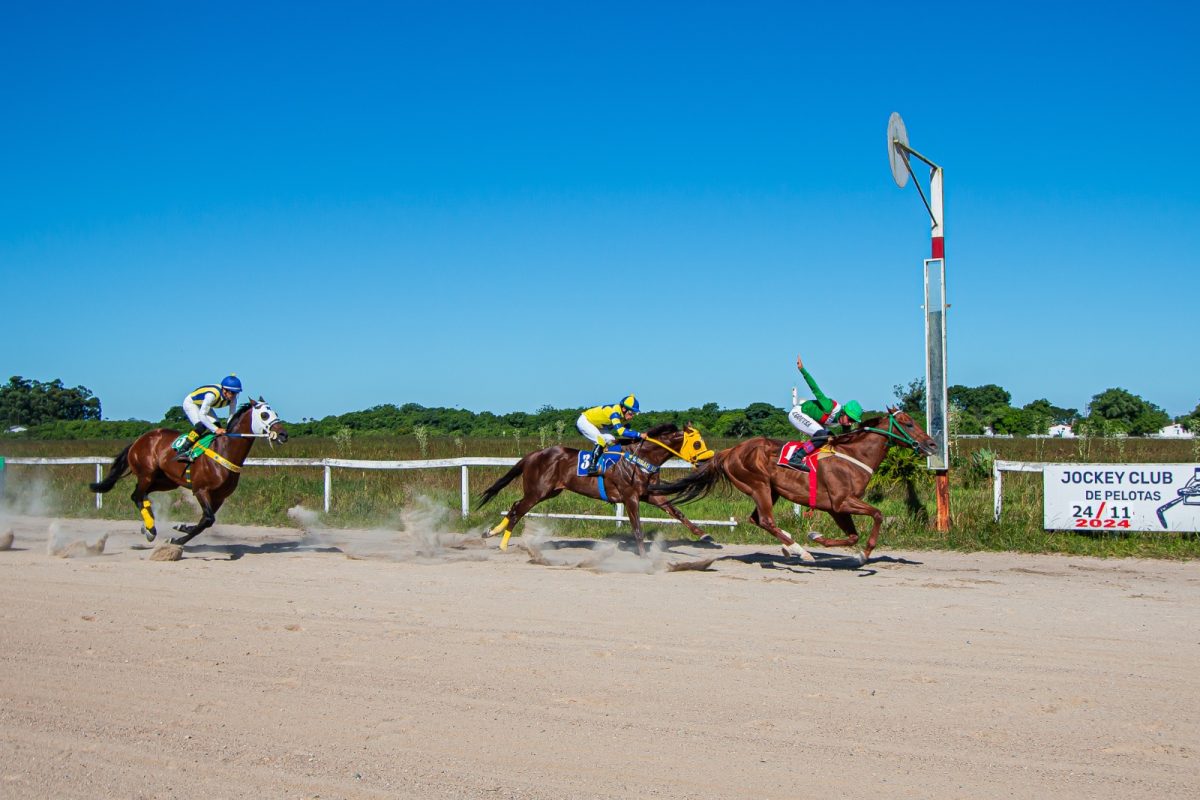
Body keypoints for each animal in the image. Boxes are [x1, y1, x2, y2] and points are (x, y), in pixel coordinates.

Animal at [87, 398, 289, 546]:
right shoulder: (201, 490)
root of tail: (139, 440)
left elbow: (205, 521)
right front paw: (178, 538)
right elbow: (207, 519)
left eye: (276, 413)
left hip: (165, 481)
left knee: (140, 495)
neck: (224, 450)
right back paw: (151, 529)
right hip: (147, 474)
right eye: (264, 414)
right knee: (137, 496)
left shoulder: (219, 496)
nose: (283, 435)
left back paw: (148, 525)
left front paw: (181, 529)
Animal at [475, 424, 720, 556]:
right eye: (697, 443)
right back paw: (502, 544)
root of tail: (534, 455)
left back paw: (492, 533)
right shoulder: (630, 497)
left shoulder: (649, 494)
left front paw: (704, 535)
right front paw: (643, 557)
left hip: (549, 491)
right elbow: (637, 528)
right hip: (538, 492)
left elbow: (677, 512)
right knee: (518, 510)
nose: (707, 460)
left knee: (515, 506)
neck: (640, 458)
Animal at [648, 412, 936, 563]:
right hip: (759, 485)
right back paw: (800, 551)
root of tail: (730, 451)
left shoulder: (836, 508)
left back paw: (790, 545)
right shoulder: (842, 501)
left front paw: (817, 536)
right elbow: (877, 514)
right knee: (765, 520)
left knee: (757, 519)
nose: (932, 444)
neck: (854, 455)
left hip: (771, 490)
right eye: (908, 422)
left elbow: (853, 535)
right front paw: (864, 554)